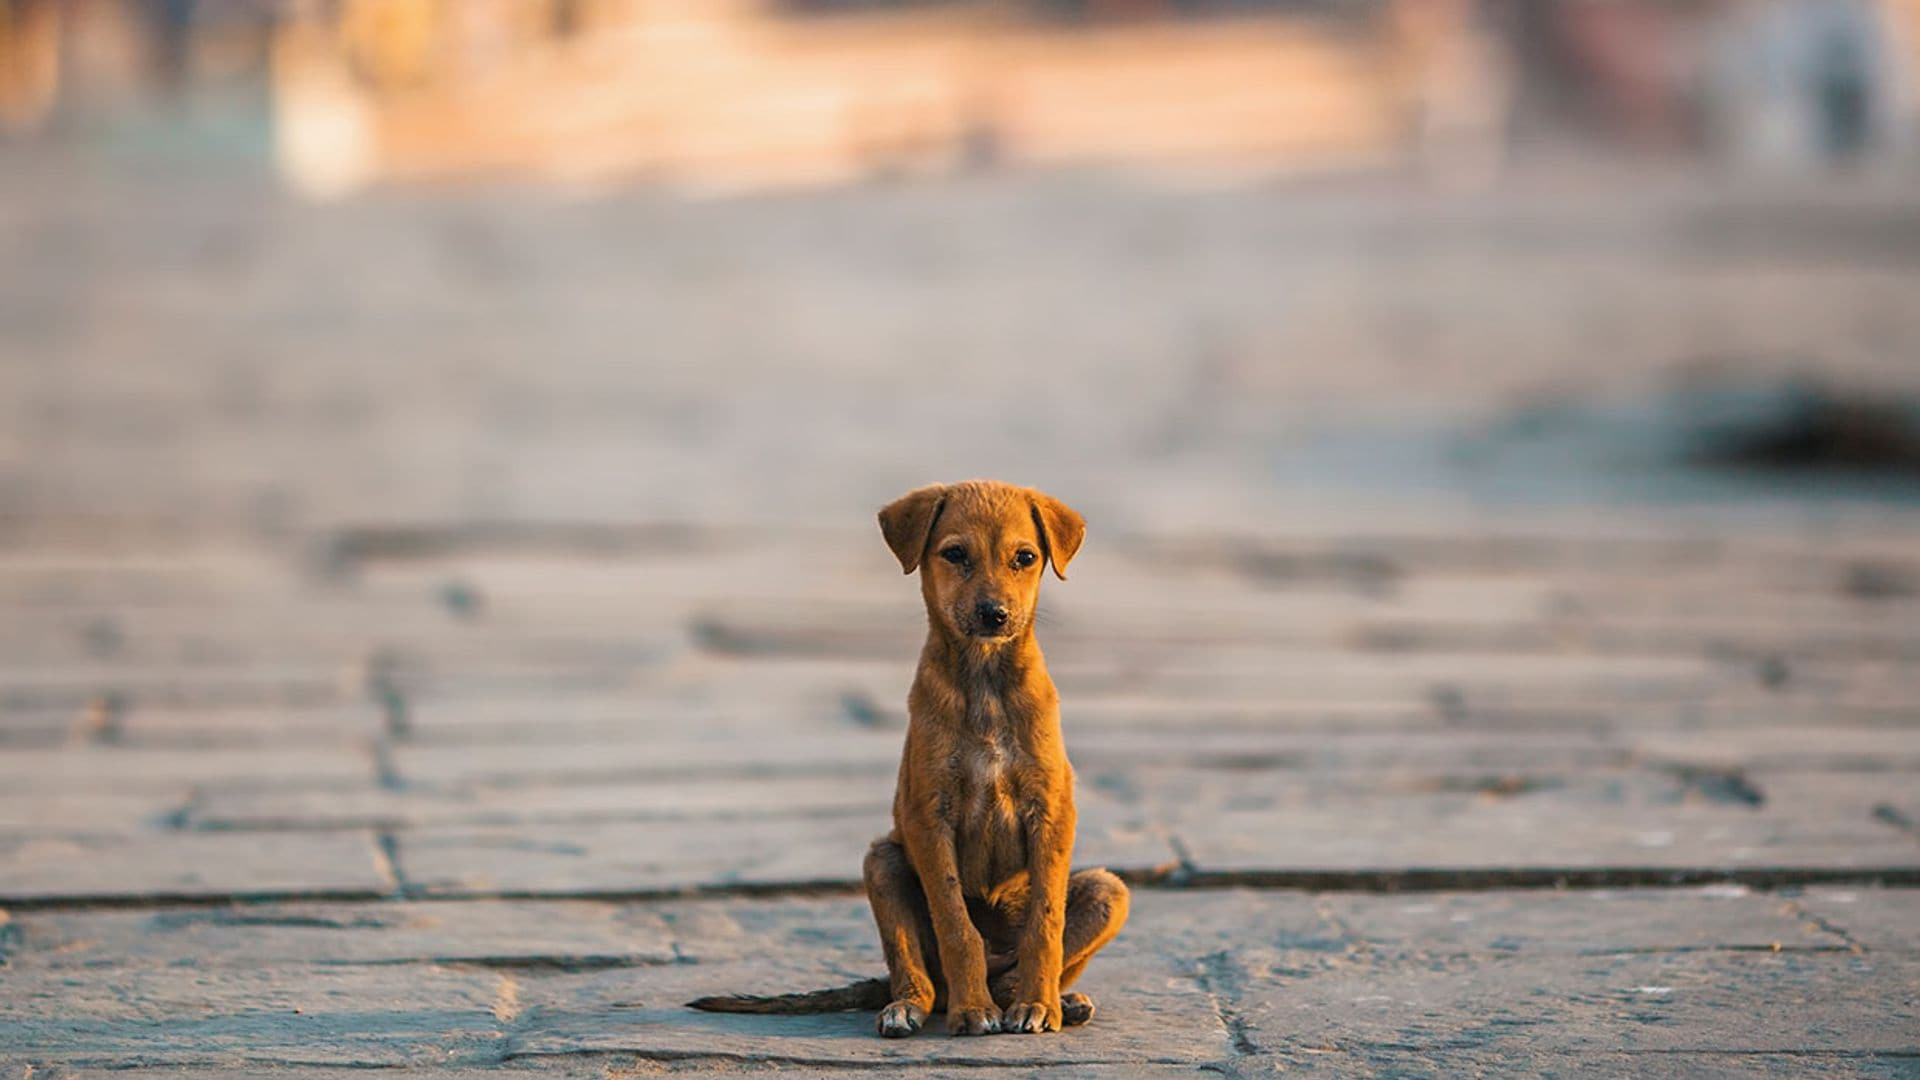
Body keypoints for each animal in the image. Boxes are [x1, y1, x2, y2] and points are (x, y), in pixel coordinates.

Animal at [691, 478, 1128, 1037]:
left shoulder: (1051, 811)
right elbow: (955, 923)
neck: (985, 682)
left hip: (1108, 889)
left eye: (1025, 558)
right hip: (883, 862)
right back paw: (913, 1006)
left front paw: (1037, 1004)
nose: (994, 615)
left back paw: (1051, 999)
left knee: (1024, 962)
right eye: (955, 554)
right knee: (917, 976)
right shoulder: (928, 816)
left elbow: (1045, 922)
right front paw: (973, 1011)